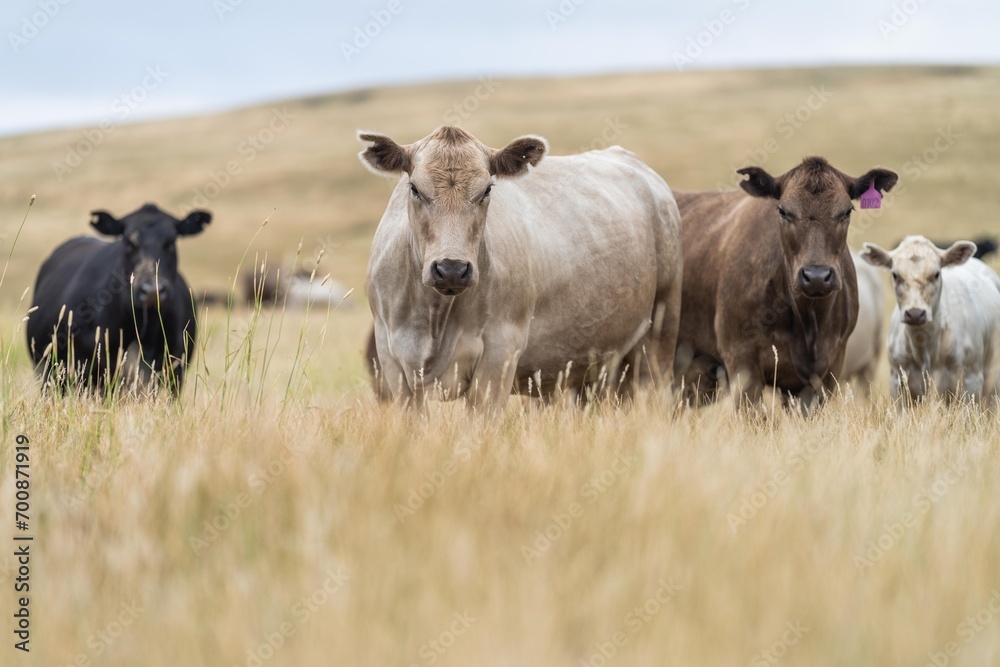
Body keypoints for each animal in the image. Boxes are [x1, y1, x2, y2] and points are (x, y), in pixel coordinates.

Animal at [364, 122, 684, 410]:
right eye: (415, 189)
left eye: (487, 190)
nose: (451, 269)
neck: (433, 318)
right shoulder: (394, 365)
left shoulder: (499, 357)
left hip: (660, 334)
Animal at [672, 158, 900, 408]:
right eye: (783, 211)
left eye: (847, 211)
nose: (816, 276)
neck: (809, 323)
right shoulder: (741, 361)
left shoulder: (829, 370)